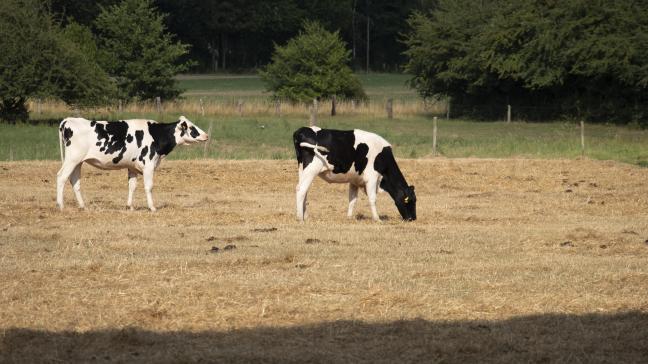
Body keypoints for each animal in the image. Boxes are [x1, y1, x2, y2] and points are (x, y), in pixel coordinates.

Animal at [56, 115, 208, 212]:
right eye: (192, 128)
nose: (206, 135)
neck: (156, 135)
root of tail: (69, 120)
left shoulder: (132, 167)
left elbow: (132, 186)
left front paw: (130, 206)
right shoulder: (148, 165)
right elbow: (148, 186)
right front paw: (152, 207)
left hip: (78, 162)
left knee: (75, 181)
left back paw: (82, 206)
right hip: (72, 159)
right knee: (61, 177)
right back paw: (60, 206)